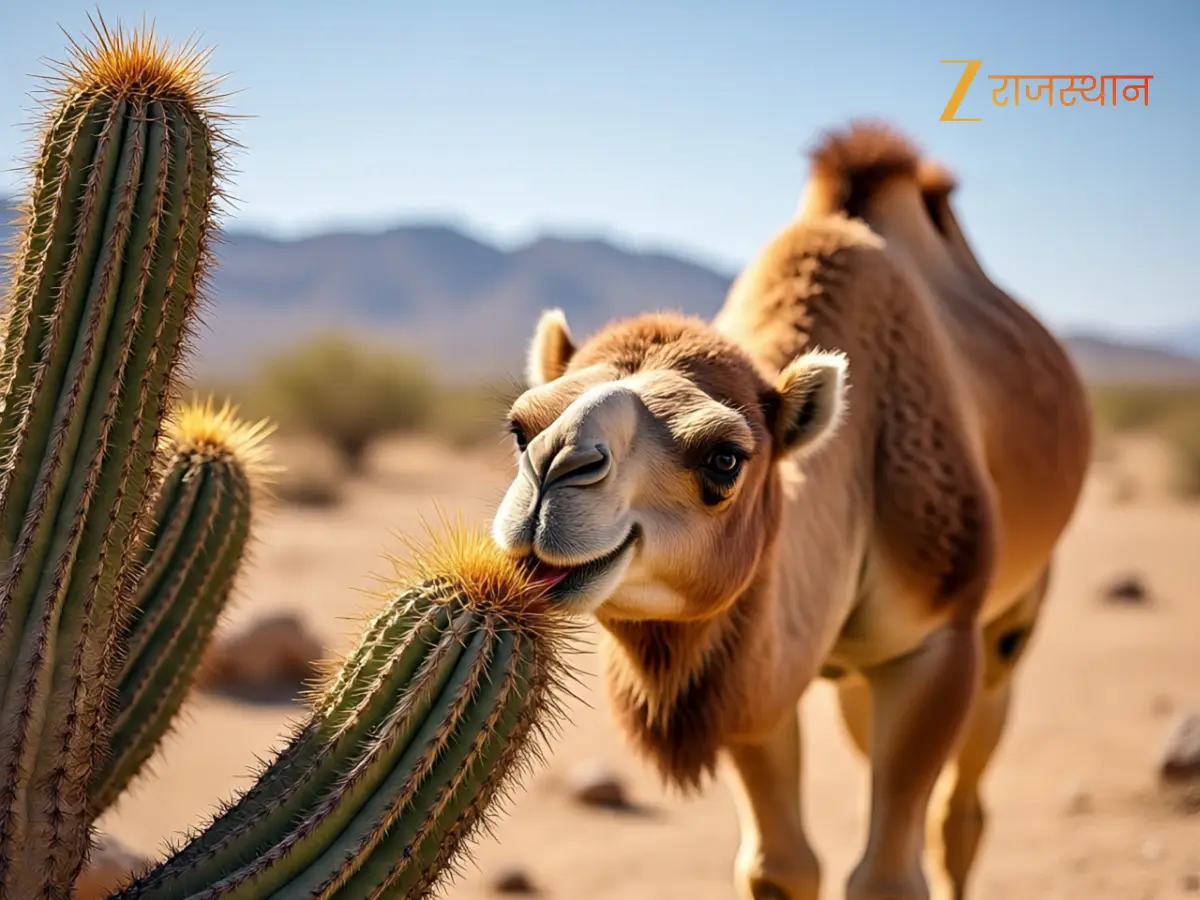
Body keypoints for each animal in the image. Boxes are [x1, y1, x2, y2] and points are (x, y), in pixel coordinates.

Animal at [491, 121, 1092, 900]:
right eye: (520, 428)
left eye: (725, 459)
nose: (554, 474)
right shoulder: (751, 688)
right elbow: (781, 867)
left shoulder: (935, 644)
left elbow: (888, 876)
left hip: (1008, 622)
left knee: (961, 812)